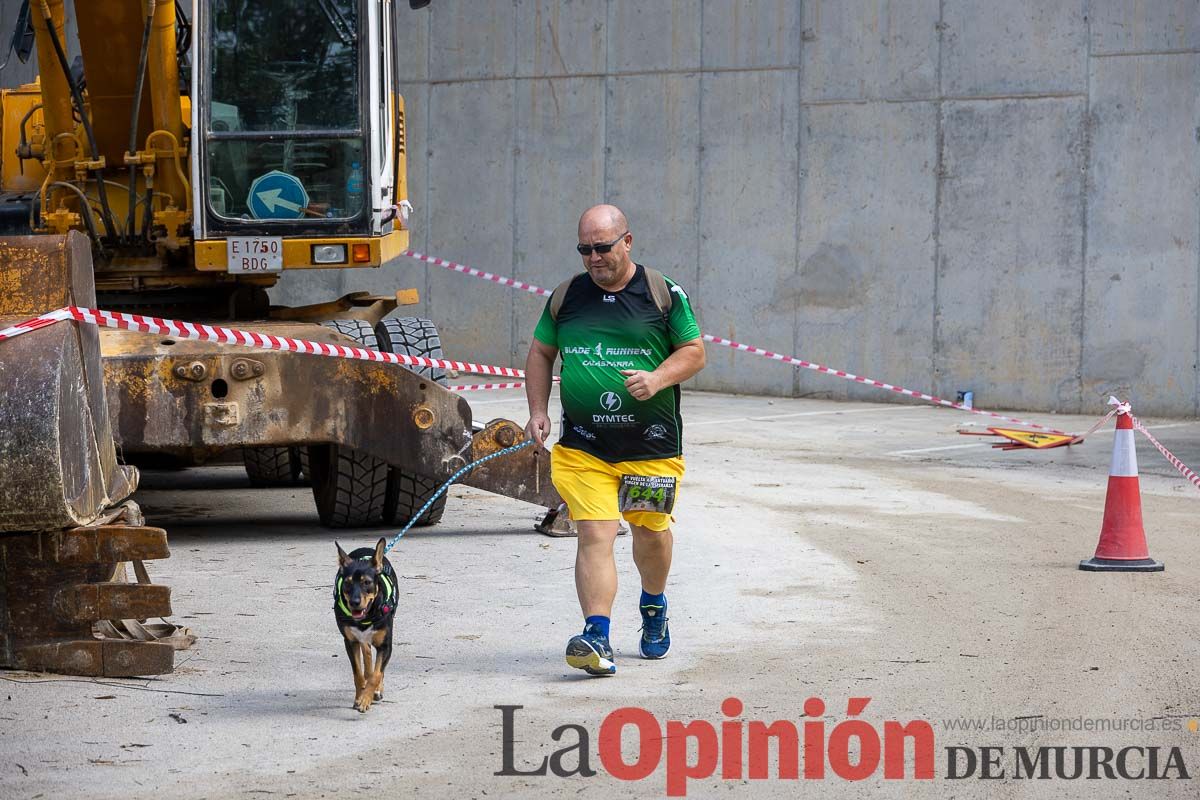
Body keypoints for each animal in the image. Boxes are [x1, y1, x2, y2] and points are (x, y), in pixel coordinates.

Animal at [333, 537, 398, 714]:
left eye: (367, 582)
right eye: (347, 583)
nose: (355, 602)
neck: (366, 617)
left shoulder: (386, 646)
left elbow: (377, 674)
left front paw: (366, 698)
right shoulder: (351, 642)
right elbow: (358, 673)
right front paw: (360, 696)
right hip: (361, 640)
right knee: (367, 654)